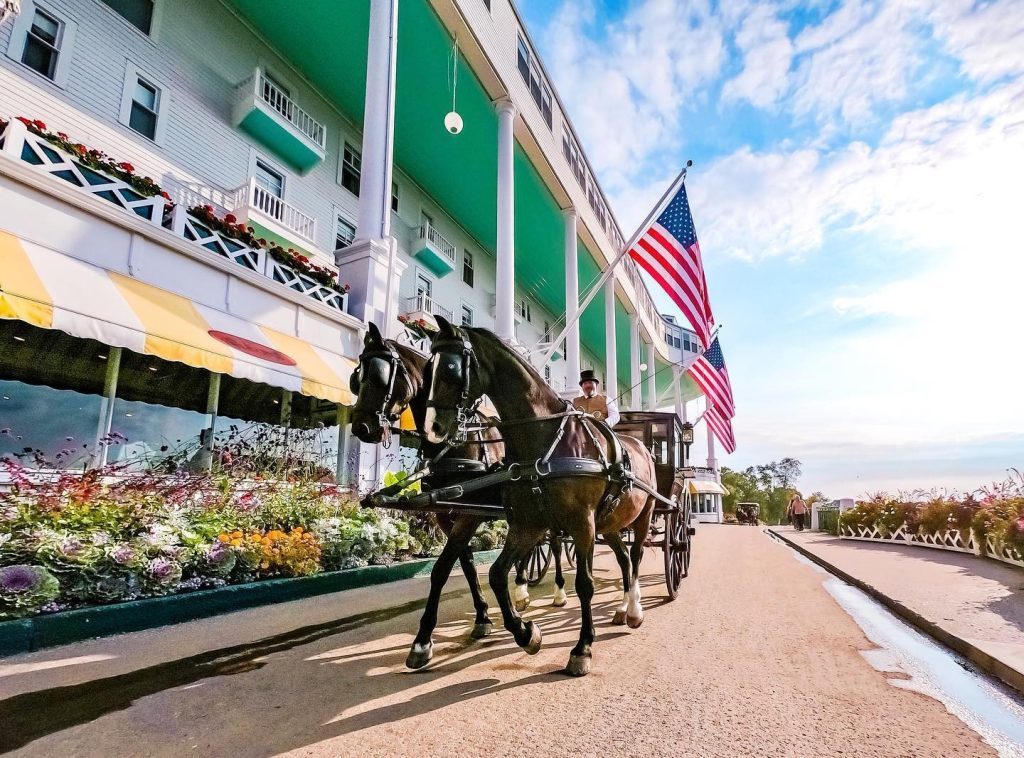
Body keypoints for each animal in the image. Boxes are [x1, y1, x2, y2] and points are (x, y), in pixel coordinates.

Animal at [428, 317, 659, 676]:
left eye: (451, 367)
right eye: (429, 366)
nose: (436, 427)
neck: (543, 439)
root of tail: (641, 446)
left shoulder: (582, 524)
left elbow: (585, 584)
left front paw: (582, 648)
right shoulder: (529, 523)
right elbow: (497, 575)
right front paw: (527, 633)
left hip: (643, 516)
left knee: (634, 558)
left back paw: (634, 609)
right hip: (609, 523)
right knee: (622, 558)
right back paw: (622, 609)